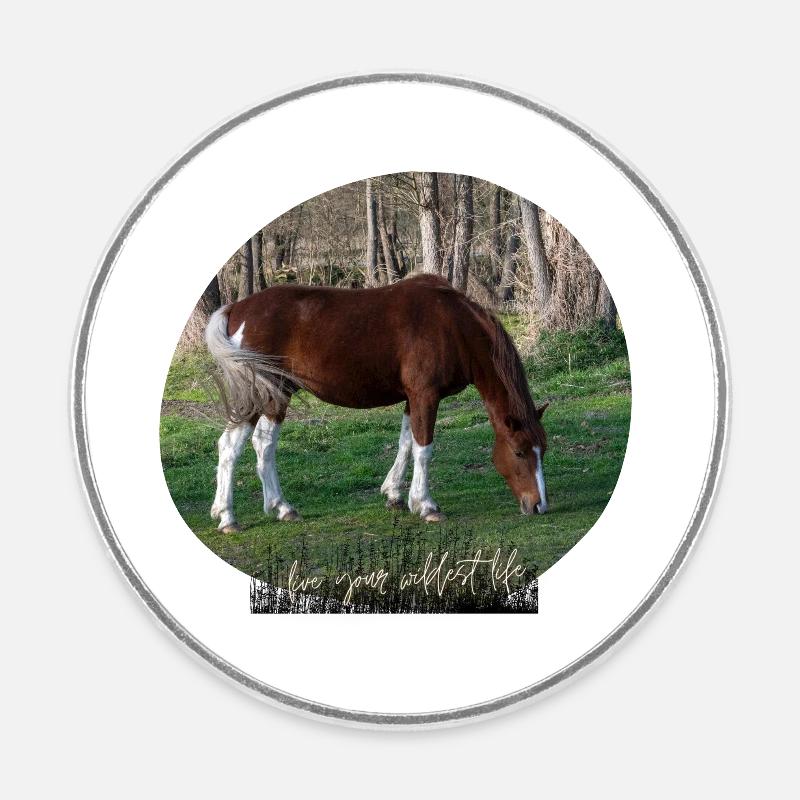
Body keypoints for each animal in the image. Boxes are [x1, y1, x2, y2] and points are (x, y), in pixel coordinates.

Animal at [205, 273, 548, 532]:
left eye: (543, 450)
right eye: (519, 452)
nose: (539, 506)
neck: (452, 324)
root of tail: (239, 309)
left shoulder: (413, 398)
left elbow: (406, 443)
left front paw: (395, 495)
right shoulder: (425, 395)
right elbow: (424, 449)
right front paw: (426, 505)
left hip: (274, 394)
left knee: (250, 444)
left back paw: (268, 509)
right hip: (264, 393)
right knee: (243, 446)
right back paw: (235, 516)